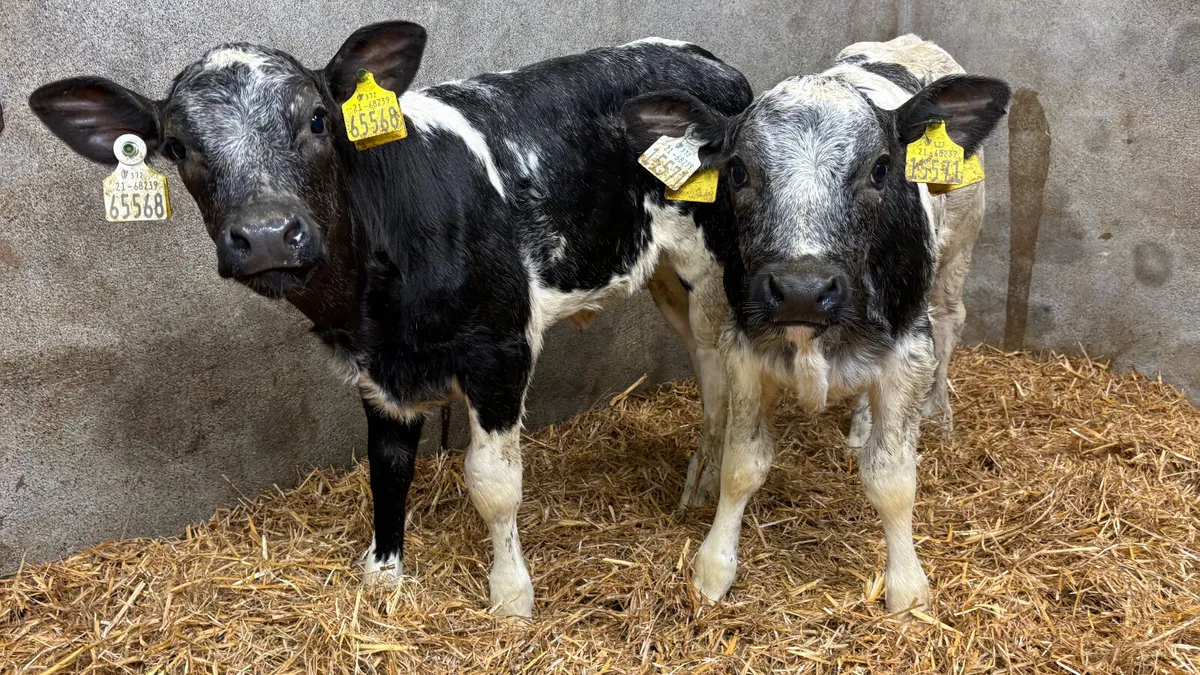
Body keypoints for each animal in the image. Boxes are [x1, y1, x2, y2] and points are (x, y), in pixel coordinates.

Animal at [30, 21, 752, 617]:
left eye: (318, 120)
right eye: (178, 147)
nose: (265, 235)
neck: (377, 309)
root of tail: (705, 60)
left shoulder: (500, 348)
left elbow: (494, 484)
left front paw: (510, 597)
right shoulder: (377, 369)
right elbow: (388, 465)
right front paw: (384, 571)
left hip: (712, 269)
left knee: (719, 373)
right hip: (664, 274)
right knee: (705, 367)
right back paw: (697, 483)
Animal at [623, 35, 1010, 612]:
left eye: (880, 169)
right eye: (737, 170)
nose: (802, 289)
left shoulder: (907, 353)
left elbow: (892, 480)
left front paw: (907, 588)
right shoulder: (742, 349)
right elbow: (742, 466)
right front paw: (714, 569)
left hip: (958, 249)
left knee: (950, 320)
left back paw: (939, 414)